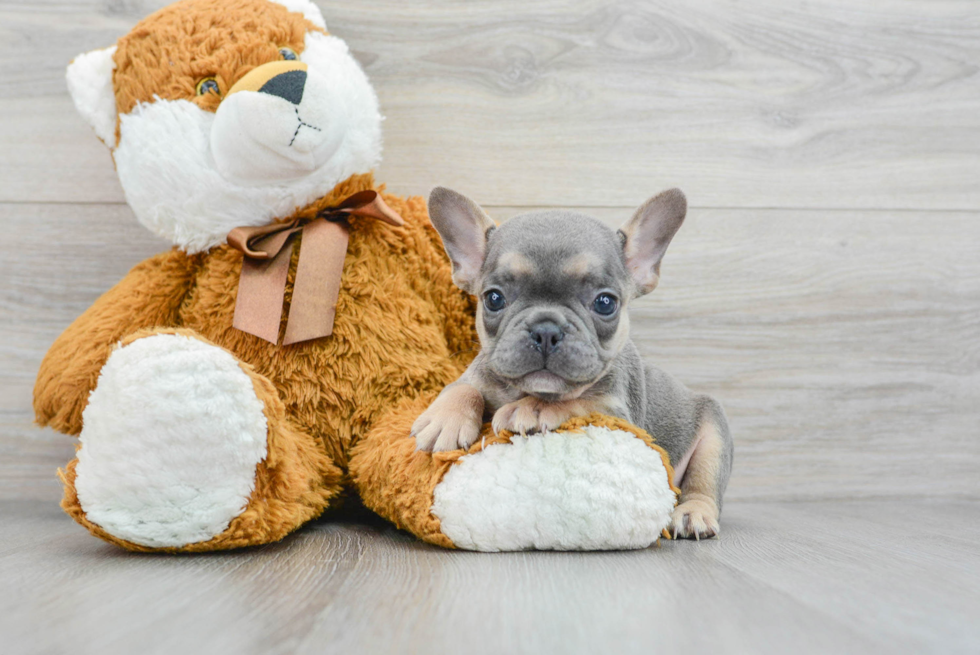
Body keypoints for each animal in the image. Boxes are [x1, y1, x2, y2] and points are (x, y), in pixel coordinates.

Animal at [414, 187, 736, 540]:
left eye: (605, 303)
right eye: (494, 298)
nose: (546, 329)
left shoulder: (616, 411)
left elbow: (577, 401)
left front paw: (533, 408)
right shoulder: (477, 373)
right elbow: (461, 388)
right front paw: (443, 419)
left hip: (713, 439)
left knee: (703, 485)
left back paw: (693, 514)